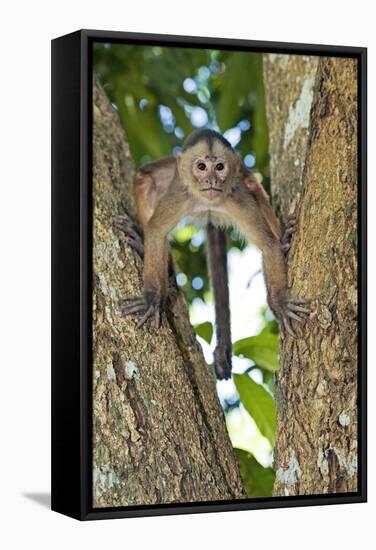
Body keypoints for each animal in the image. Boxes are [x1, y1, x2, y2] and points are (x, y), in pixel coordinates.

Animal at [115, 129, 308, 380]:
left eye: (219, 167)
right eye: (201, 167)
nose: (212, 180)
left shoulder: (236, 200)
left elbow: (269, 246)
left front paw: (280, 303)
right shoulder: (180, 197)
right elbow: (156, 232)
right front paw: (152, 298)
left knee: (253, 186)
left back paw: (285, 237)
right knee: (144, 178)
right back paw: (148, 250)